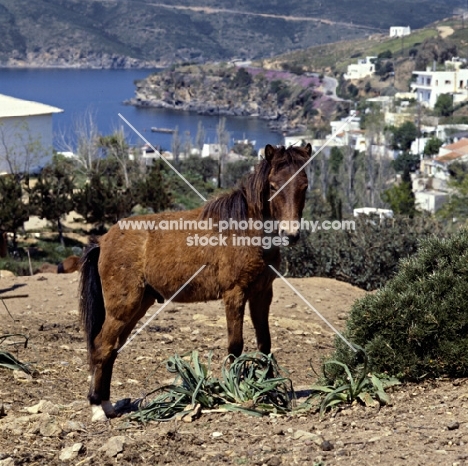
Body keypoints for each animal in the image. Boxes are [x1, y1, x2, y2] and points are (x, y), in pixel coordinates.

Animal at [80, 144, 310, 420]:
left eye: (304, 185)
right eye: (274, 185)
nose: (291, 234)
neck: (244, 230)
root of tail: (103, 241)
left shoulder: (262, 294)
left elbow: (265, 344)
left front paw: (270, 390)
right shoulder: (235, 294)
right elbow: (235, 345)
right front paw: (235, 392)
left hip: (137, 306)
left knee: (112, 349)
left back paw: (107, 404)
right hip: (122, 308)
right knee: (101, 347)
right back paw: (97, 407)